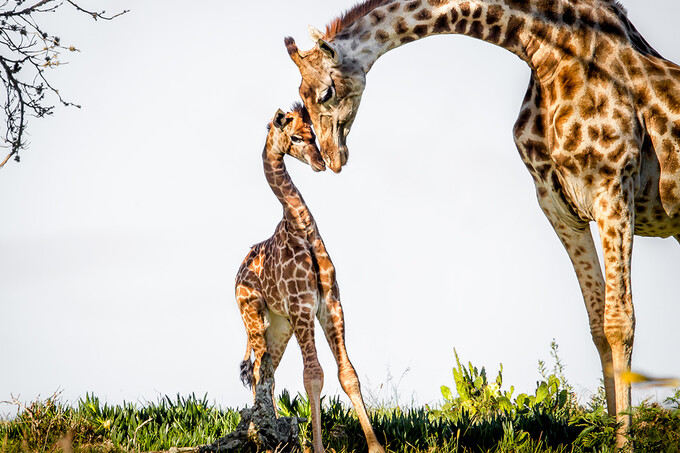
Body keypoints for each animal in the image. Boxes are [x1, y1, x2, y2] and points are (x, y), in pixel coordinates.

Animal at [236, 103, 386, 452]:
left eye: (313, 135)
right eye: (294, 137)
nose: (320, 163)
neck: (300, 227)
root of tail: (236, 274)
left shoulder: (330, 303)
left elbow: (348, 374)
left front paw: (376, 446)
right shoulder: (302, 306)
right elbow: (313, 375)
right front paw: (317, 447)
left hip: (279, 325)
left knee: (266, 373)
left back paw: (272, 431)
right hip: (254, 316)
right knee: (257, 371)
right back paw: (261, 433)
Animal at [282, 0, 680, 440]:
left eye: (325, 92)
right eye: (299, 99)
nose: (331, 159)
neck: (549, 53)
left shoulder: (613, 188)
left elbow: (619, 321)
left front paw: (624, 440)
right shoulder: (560, 207)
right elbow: (596, 325)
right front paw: (608, 432)